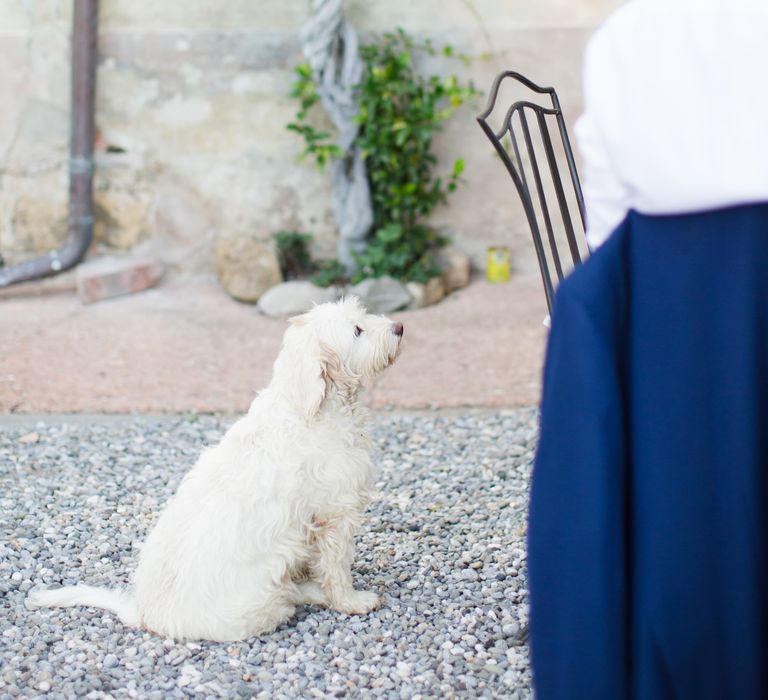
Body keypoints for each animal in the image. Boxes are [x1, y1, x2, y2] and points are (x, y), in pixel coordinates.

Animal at [27, 296, 404, 640]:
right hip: (263, 595)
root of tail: (145, 613)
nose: (399, 327)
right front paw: (351, 600)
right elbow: (336, 568)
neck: (310, 408)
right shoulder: (336, 516)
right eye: (356, 330)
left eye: (362, 314)